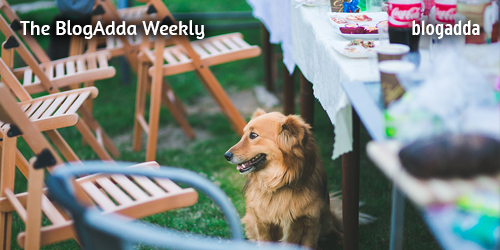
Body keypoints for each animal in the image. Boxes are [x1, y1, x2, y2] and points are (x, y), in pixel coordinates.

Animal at [226, 110, 344, 249]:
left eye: (253, 135)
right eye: (244, 134)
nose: (226, 155)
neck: (280, 182)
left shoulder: (311, 223)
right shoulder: (263, 223)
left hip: (325, 218)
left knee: (332, 228)